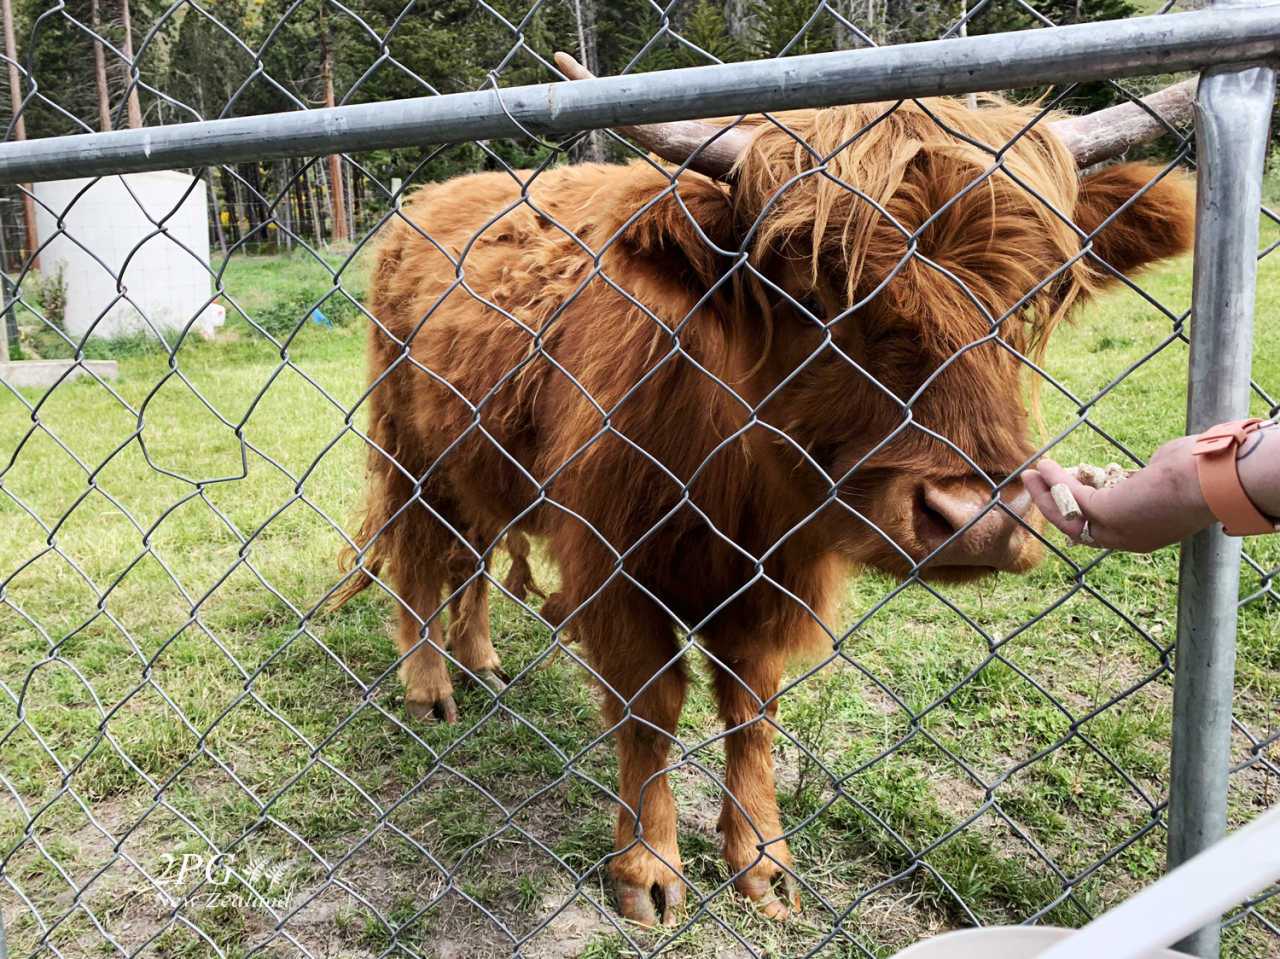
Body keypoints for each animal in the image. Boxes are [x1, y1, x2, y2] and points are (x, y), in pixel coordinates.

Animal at [335, 65, 1192, 921]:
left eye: (1031, 299)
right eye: (811, 296)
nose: (974, 519)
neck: (731, 478)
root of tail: (430, 200)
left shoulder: (769, 580)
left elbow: (752, 708)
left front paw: (760, 861)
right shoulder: (615, 569)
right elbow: (651, 709)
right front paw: (649, 869)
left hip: (478, 457)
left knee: (472, 556)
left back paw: (480, 660)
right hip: (410, 446)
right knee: (419, 556)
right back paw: (430, 689)